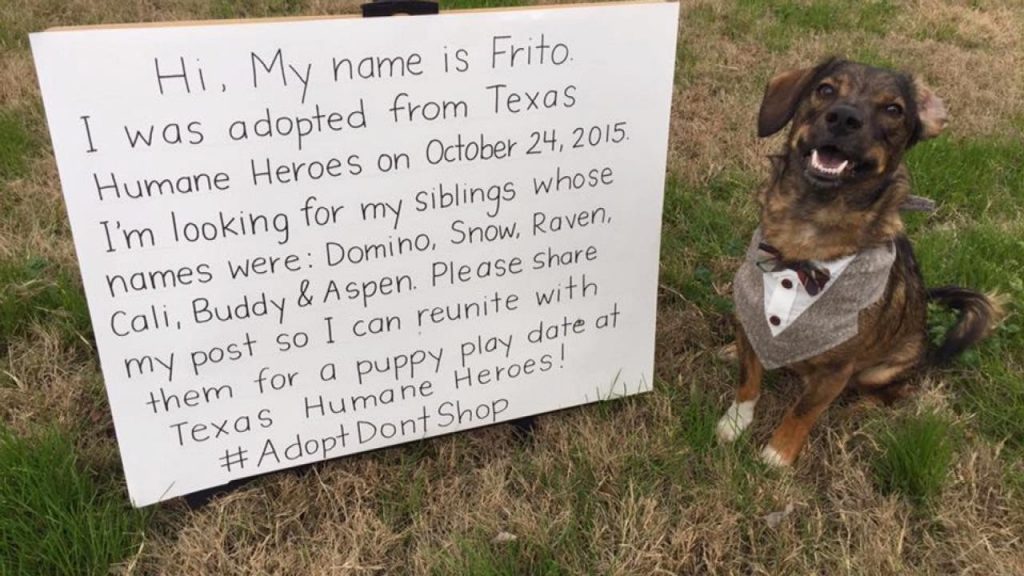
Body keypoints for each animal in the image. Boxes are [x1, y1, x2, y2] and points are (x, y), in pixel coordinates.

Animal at [720, 58, 999, 463]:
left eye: (893, 110)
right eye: (824, 89)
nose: (844, 117)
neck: (806, 234)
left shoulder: (836, 370)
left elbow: (803, 410)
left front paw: (778, 454)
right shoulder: (750, 319)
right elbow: (748, 378)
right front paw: (734, 422)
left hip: (885, 369)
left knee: (891, 393)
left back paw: (858, 411)